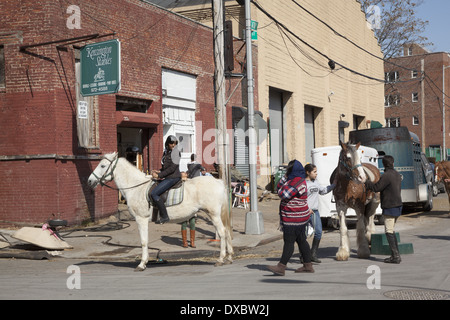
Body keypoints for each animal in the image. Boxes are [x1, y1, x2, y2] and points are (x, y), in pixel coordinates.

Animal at [86, 152, 234, 270]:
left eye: (103, 166)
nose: (90, 181)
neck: (136, 187)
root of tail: (218, 182)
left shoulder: (141, 219)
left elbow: (143, 241)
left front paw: (142, 264)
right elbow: (144, 241)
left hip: (213, 214)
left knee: (222, 232)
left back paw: (221, 259)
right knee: (227, 231)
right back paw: (230, 257)